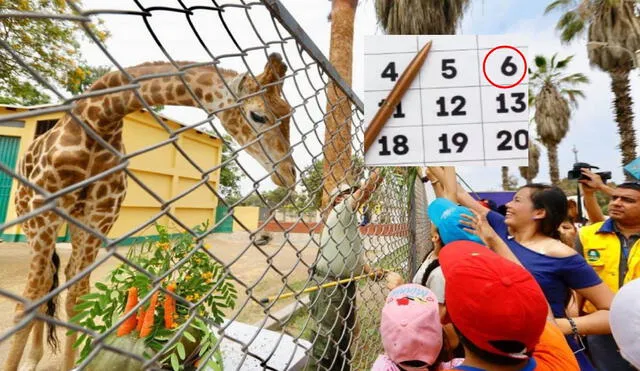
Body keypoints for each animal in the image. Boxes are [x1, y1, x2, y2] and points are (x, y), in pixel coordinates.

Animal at [5, 53, 296, 371]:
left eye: (289, 112)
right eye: (258, 115)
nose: (289, 174)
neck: (98, 121)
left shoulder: (99, 214)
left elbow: (78, 297)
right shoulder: (44, 209)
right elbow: (27, 300)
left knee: (53, 279)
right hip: (31, 216)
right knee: (44, 282)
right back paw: (32, 359)